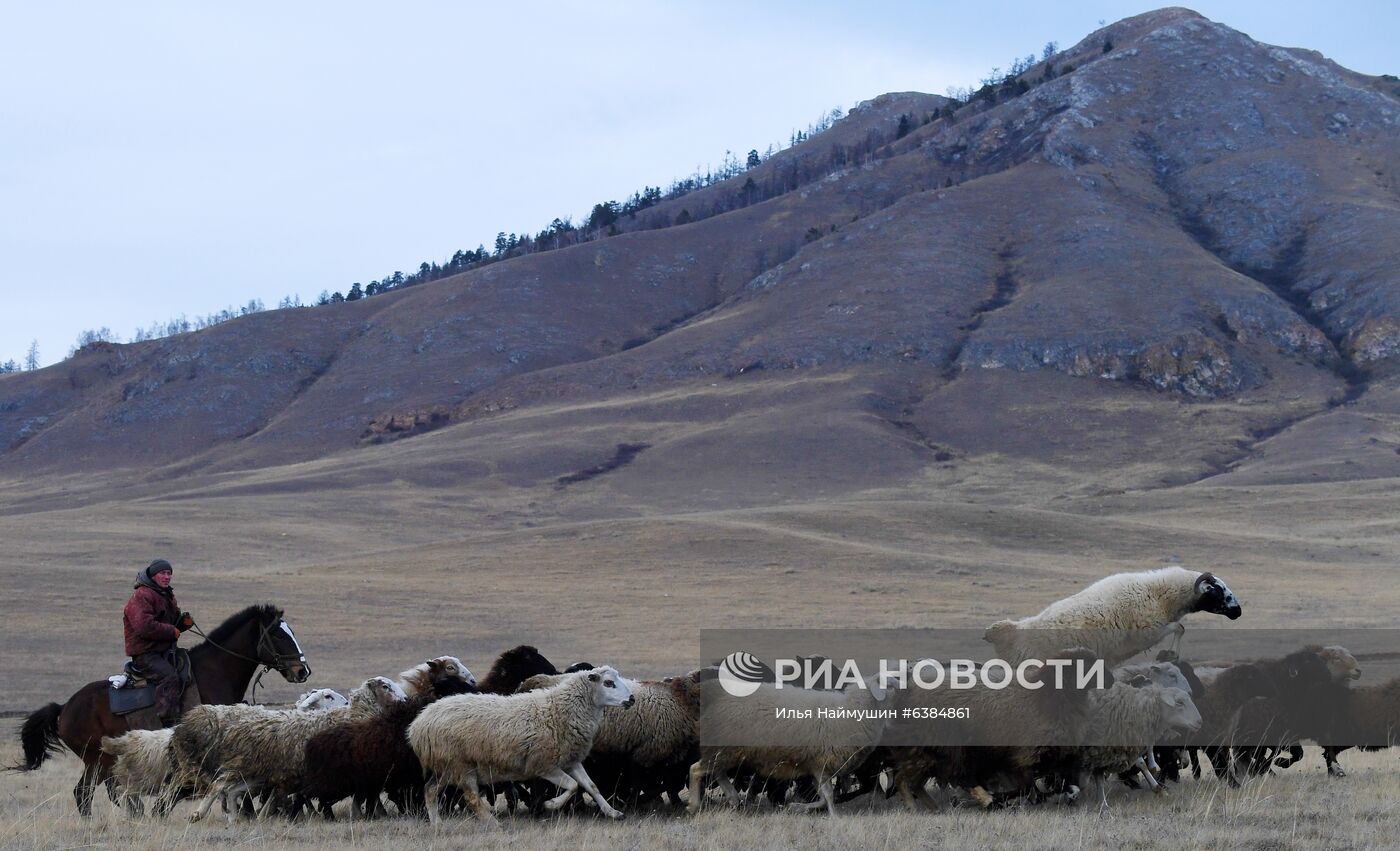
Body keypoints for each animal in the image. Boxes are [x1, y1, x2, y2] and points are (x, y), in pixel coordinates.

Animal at [15, 601, 309, 811]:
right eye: (278, 634)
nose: (302, 670)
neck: (213, 673)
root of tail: (64, 708)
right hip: (96, 760)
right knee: (85, 793)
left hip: (106, 761)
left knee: (112, 793)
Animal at [180, 674, 406, 823]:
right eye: (385, 686)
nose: (405, 699)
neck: (357, 713)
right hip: (245, 765)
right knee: (219, 786)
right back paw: (198, 814)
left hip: (259, 772)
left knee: (232, 791)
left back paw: (237, 818)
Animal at [408, 666, 638, 823]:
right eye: (609, 683)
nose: (632, 699)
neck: (560, 711)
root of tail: (419, 724)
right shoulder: (543, 765)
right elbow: (573, 786)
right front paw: (550, 804)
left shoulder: (571, 759)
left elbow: (591, 786)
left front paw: (613, 812)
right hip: (460, 764)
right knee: (471, 797)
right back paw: (493, 823)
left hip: (446, 766)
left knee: (430, 790)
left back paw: (437, 823)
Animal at [688, 674, 896, 811]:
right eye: (891, 685)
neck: (852, 711)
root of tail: (713, 694)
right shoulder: (823, 763)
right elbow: (828, 795)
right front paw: (835, 816)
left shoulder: (815, 765)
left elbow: (822, 796)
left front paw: (798, 807)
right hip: (722, 748)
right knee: (696, 769)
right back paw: (694, 805)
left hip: (725, 751)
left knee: (717, 772)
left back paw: (733, 798)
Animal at [980, 568, 1243, 669]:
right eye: (1219, 590)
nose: (1238, 611)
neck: (1161, 593)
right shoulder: (1147, 632)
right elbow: (1179, 628)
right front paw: (1169, 655)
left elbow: (1179, 627)